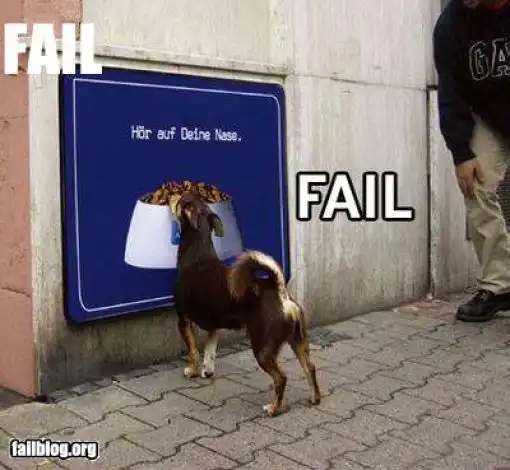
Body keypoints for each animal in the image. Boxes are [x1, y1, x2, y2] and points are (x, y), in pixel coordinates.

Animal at [170, 192, 321, 416]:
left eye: (181, 201)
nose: (172, 196)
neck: (198, 250)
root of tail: (279, 292)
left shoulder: (183, 320)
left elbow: (194, 352)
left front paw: (193, 370)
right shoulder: (214, 326)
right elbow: (210, 352)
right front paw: (207, 370)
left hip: (262, 347)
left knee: (281, 378)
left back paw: (274, 408)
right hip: (298, 341)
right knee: (310, 367)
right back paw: (314, 398)